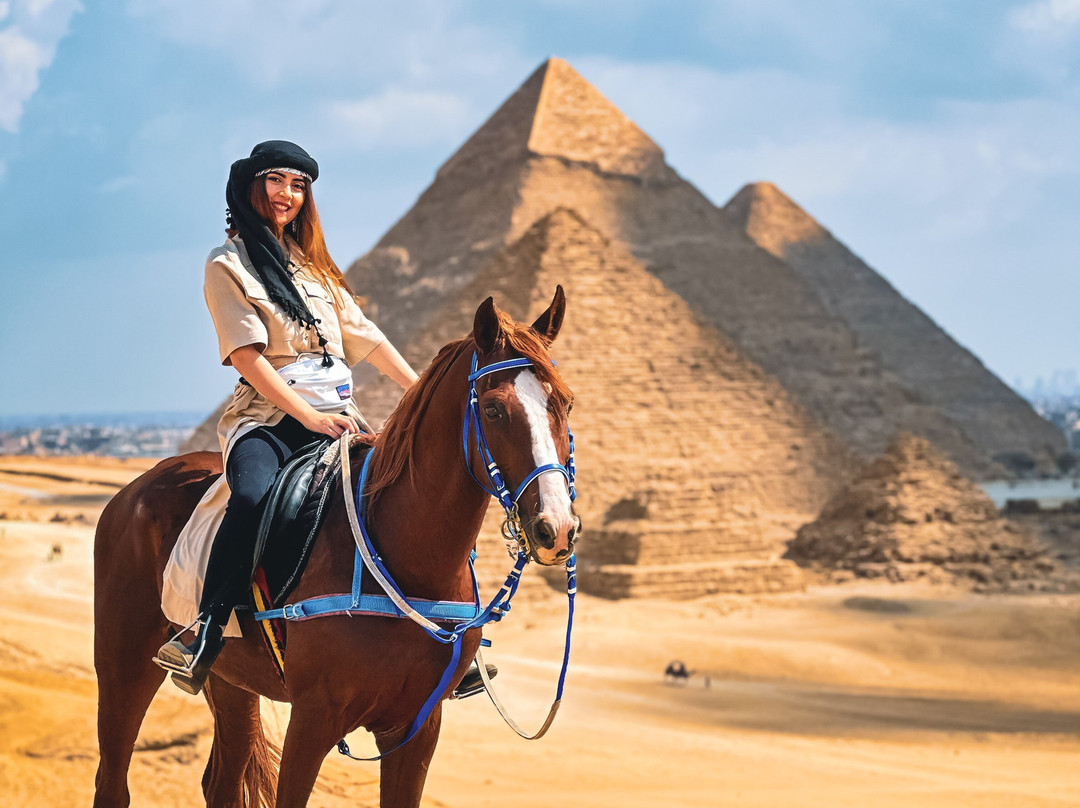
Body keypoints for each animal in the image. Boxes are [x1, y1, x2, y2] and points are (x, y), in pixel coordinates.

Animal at [92, 288, 579, 808]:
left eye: (567, 403)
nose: (555, 528)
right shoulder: (313, 720)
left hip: (230, 679)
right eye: (492, 410)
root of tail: (137, 485)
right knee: (112, 780)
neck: (405, 561)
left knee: (220, 781)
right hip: (125, 664)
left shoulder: (418, 729)